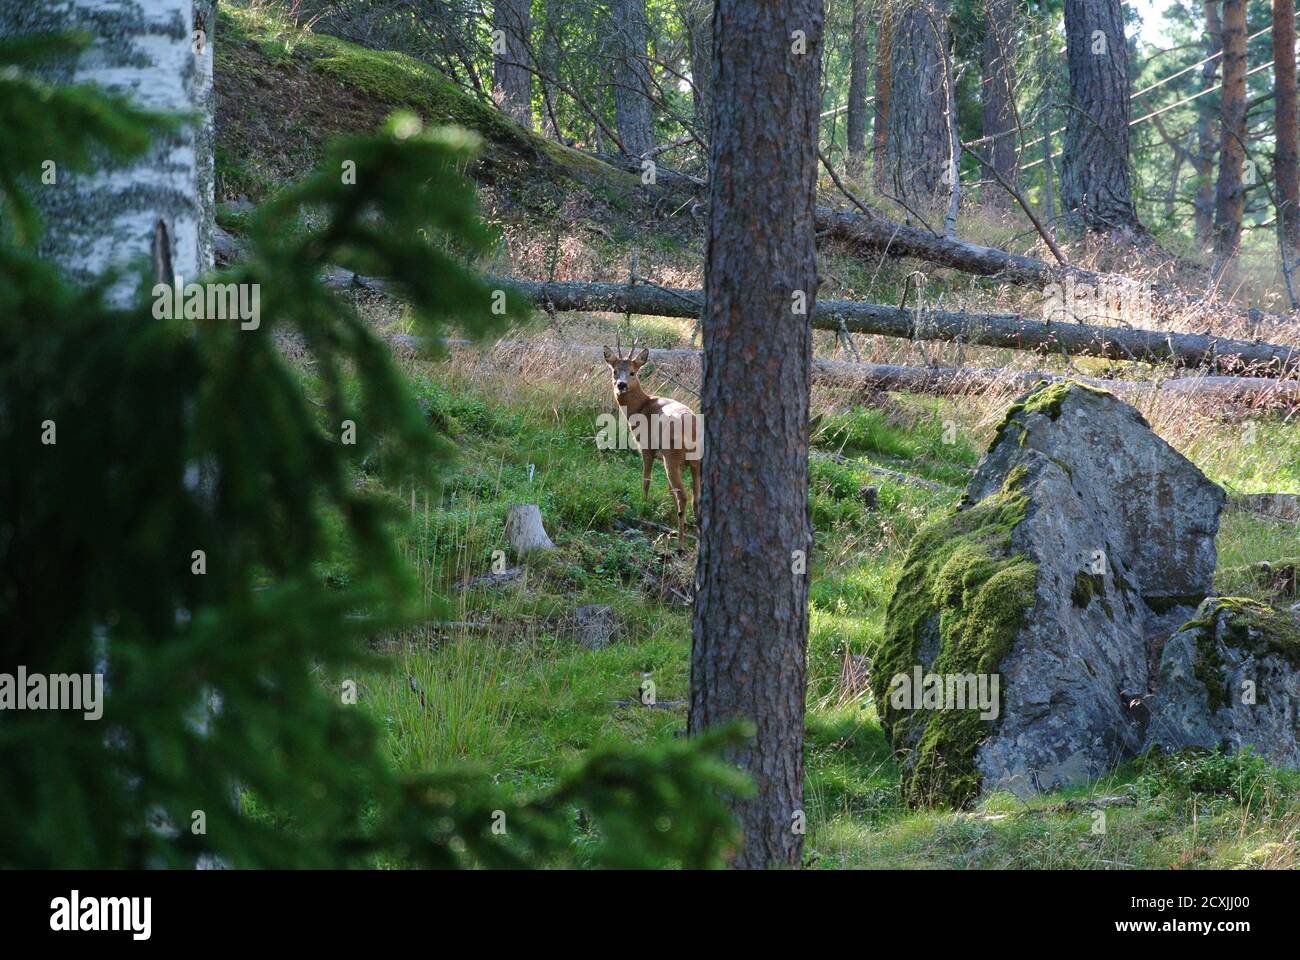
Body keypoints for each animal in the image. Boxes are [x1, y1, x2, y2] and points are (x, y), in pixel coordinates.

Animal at [605, 335, 707, 548]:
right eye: (614, 370)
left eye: (633, 372)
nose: (621, 385)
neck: (641, 407)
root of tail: (694, 431)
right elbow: (669, 490)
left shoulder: (646, 448)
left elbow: (646, 480)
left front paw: (643, 506)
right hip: (696, 463)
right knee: (695, 499)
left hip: (672, 456)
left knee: (684, 496)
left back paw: (680, 545)